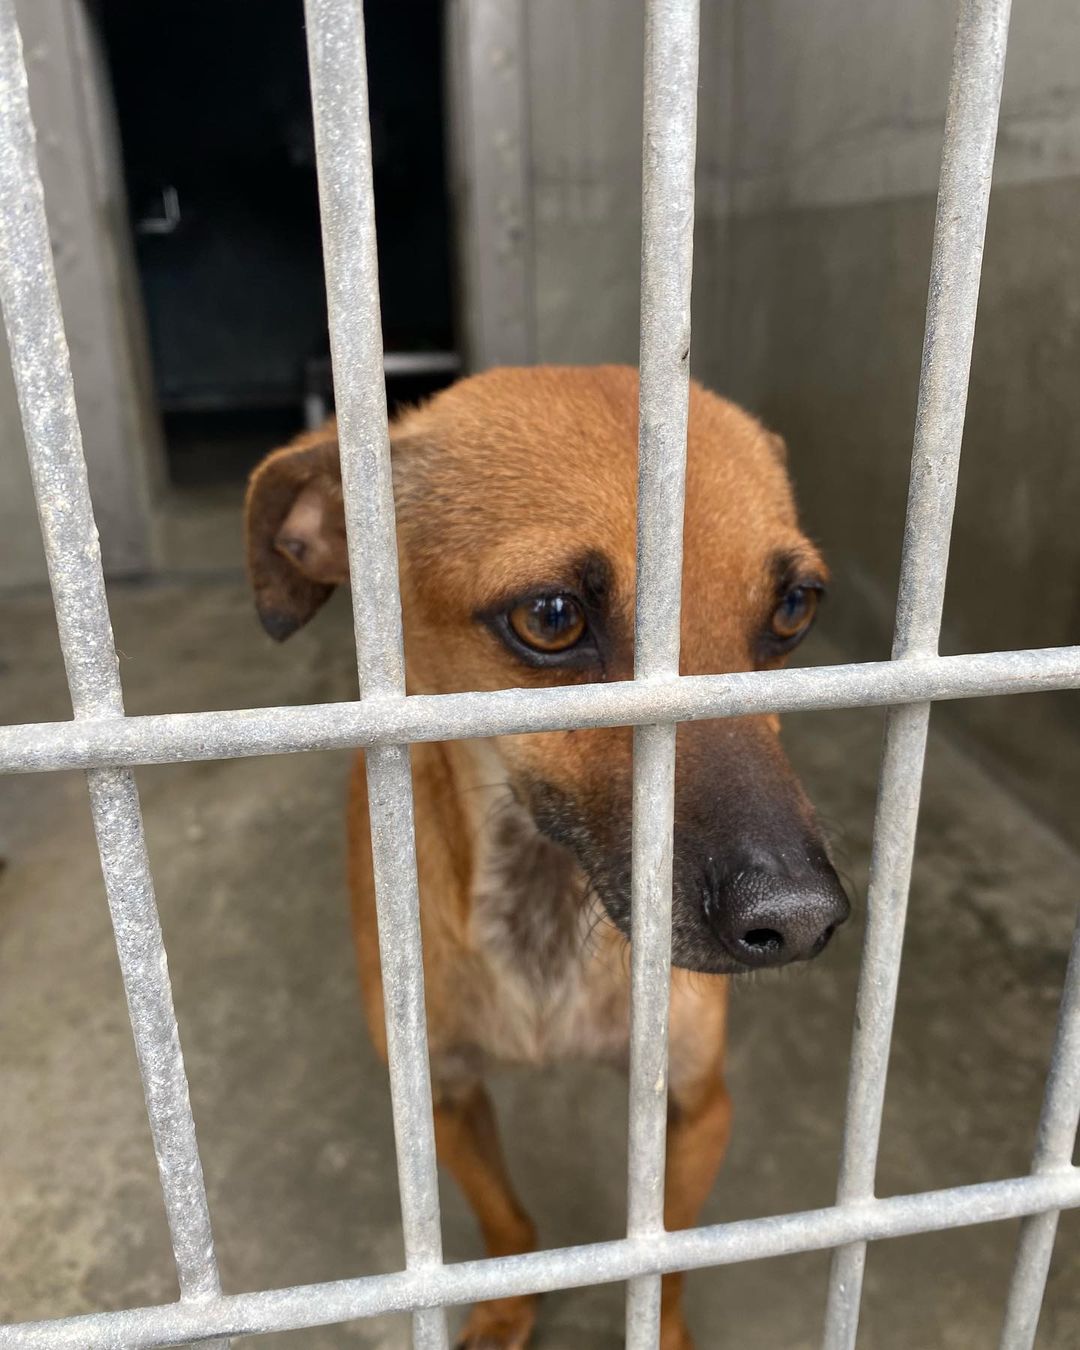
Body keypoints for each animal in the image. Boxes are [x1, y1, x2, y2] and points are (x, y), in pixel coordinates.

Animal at [248, 364, 847, 1344]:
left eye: (794, 609)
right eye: (551, 617)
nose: (799, 920)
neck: (547, 906)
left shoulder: (699, 1105)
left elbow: (663, 1262)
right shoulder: (444, 1098)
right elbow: (508, 1223)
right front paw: (505, 1309)